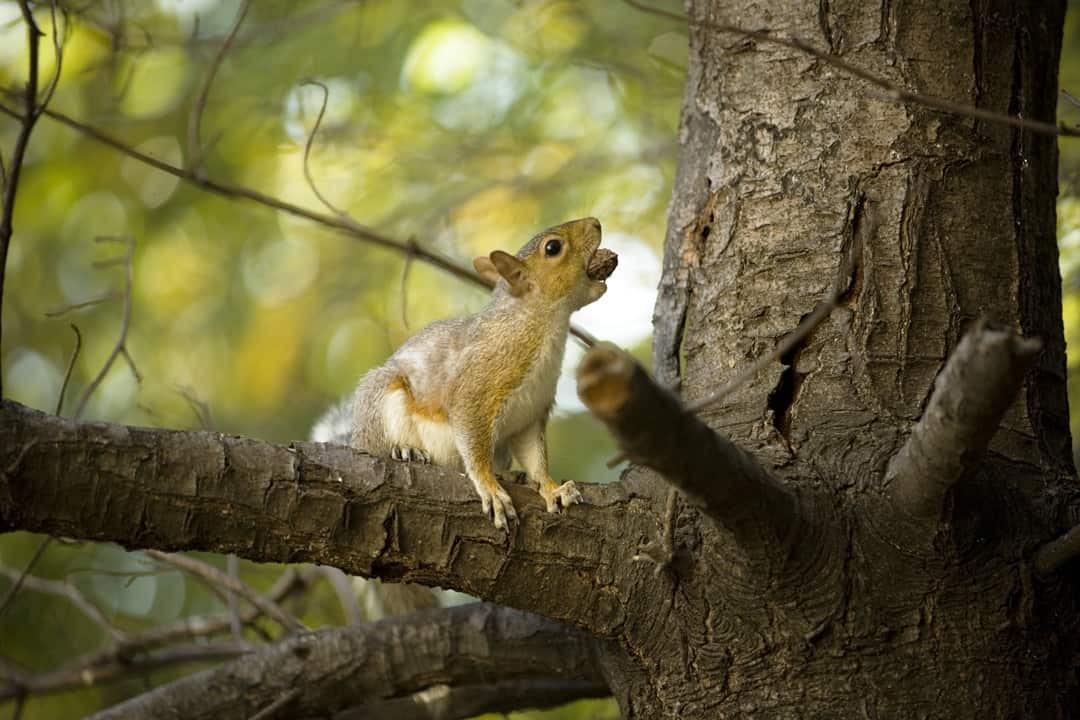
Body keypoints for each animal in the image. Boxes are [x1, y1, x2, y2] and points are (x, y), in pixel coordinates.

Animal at [318, 217, 616, 530]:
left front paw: (551, 488)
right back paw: (405, 450)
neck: (538, 326)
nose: (595, 222)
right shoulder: (476, 388)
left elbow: (535, 458)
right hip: (382, 398)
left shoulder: (530, 414)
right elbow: (474, 445)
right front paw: (490, 488)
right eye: (553, 248)